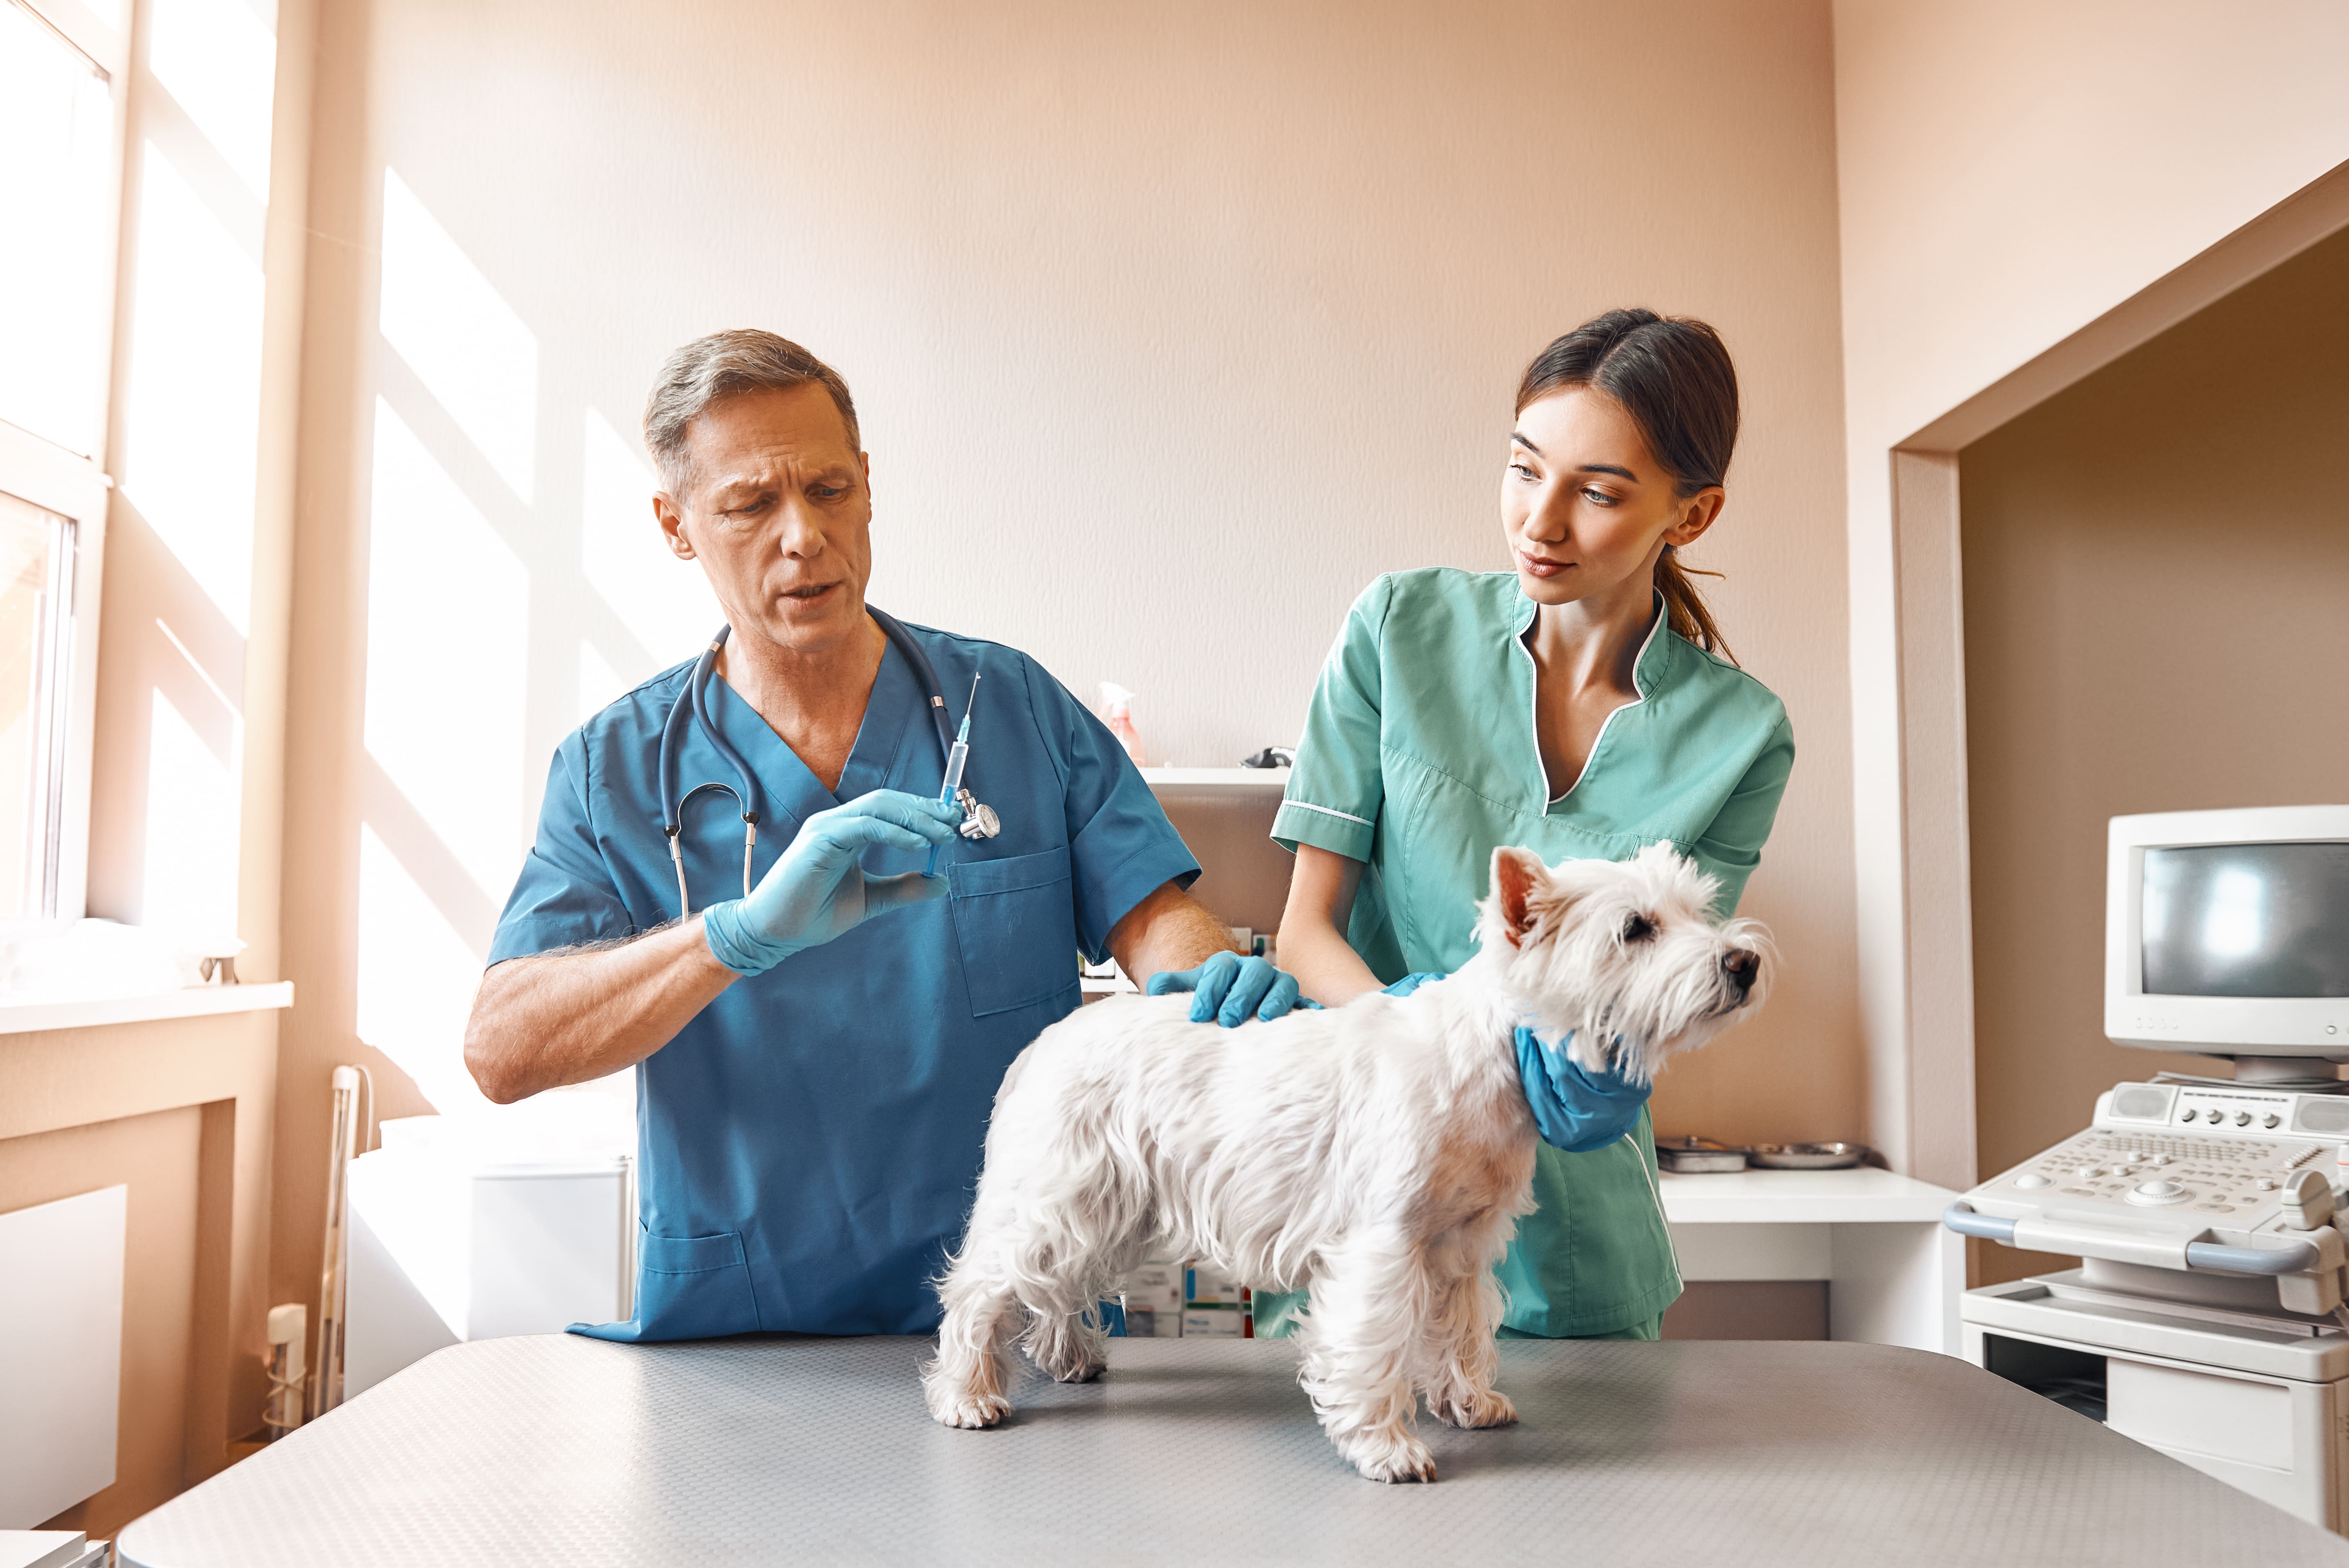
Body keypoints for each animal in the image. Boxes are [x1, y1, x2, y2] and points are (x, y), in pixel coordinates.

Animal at [925, 840, 1766, 1474]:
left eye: (1698, 909)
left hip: (1110, 1209)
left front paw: (1470, 1401)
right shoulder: (1384, 1243)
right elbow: (1375, 1344)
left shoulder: (1460, 1246)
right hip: (1057, 1194)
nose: (1743, 963)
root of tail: (1043, 1041)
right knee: (982, 1286)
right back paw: (966, 1395)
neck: (1490, 1057)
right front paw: (1388, 1448)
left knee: (1059, 1286)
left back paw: (1071, 1357)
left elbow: (1461, 1331)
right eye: (1635, 927)